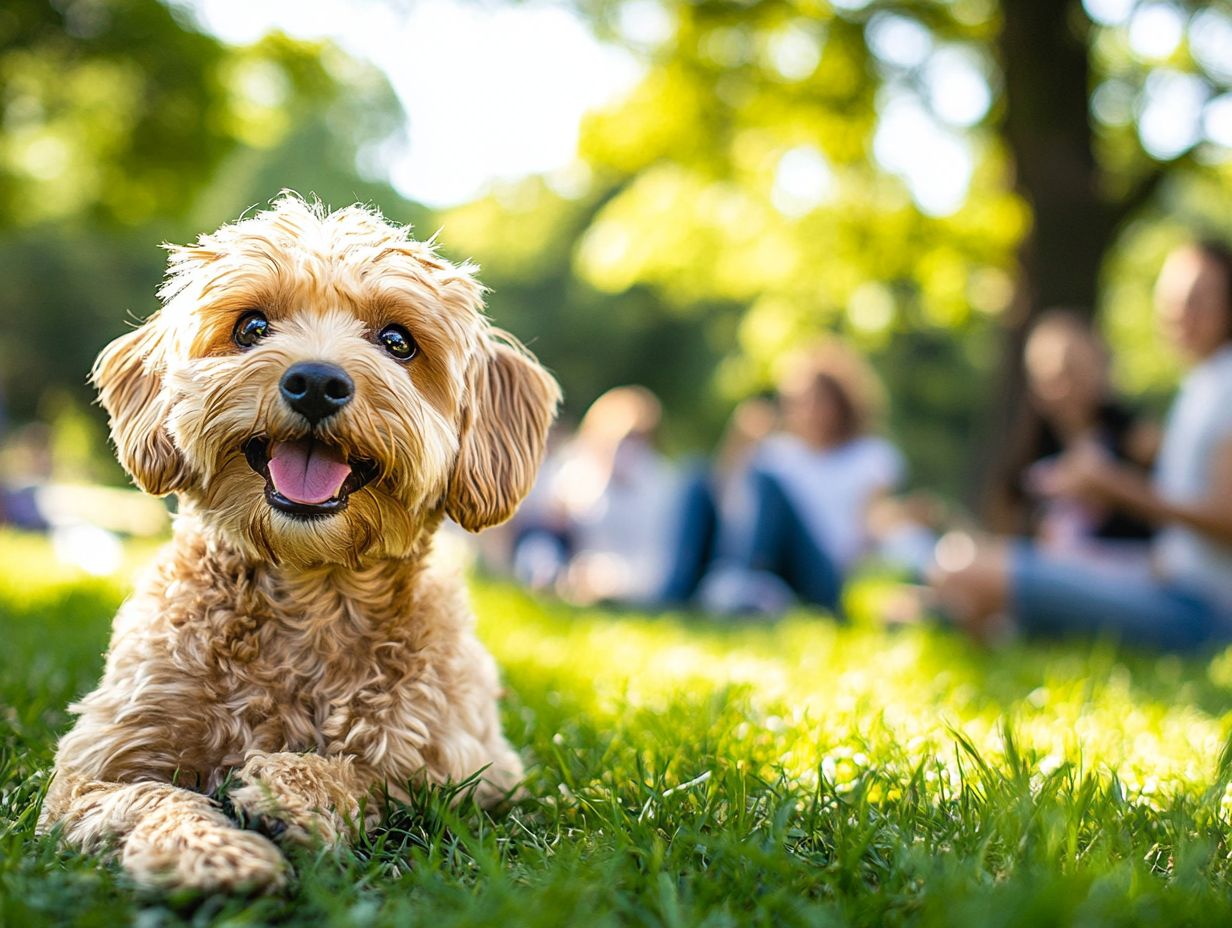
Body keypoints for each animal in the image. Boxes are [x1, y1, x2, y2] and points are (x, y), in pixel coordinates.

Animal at [36, 195, 561, 892]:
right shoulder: (90, 769)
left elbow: (375, 774)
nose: (315, 381)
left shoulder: (473, 767)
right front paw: (213, 852)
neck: (311, 587)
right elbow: (150, 795)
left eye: (398, 342)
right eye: (252, 326)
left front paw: (290, 791)